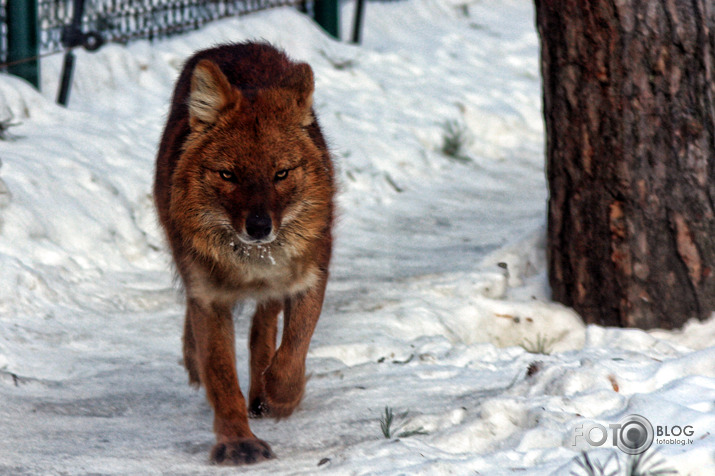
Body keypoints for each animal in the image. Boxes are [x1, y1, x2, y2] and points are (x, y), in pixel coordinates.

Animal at [153, 41, 336, 464]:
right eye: (228, 175)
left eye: (281, 173)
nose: (258, 227)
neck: (252, 264)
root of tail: (235, 45)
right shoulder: (210, 297)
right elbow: (221, 376)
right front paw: (238, 442)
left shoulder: (311, 275)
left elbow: (293, 349)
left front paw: (281, 396)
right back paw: (194, 360)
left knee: (265, 323)